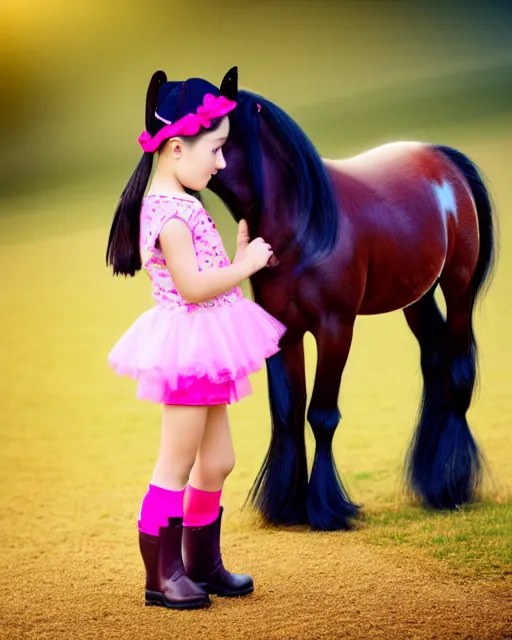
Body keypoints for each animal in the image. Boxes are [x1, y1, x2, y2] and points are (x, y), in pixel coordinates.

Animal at [208, 69, 496, 528]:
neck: (305, 223)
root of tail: (442, 158)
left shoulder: (336, 326)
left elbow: (322, 415)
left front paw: (326, 508)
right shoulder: (282, 330)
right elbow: (288, 412)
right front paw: (288, 505)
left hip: (458, 287)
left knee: (458, 369)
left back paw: (451, 485)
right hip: (417, 297)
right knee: (434, 360)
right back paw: (431, 480)